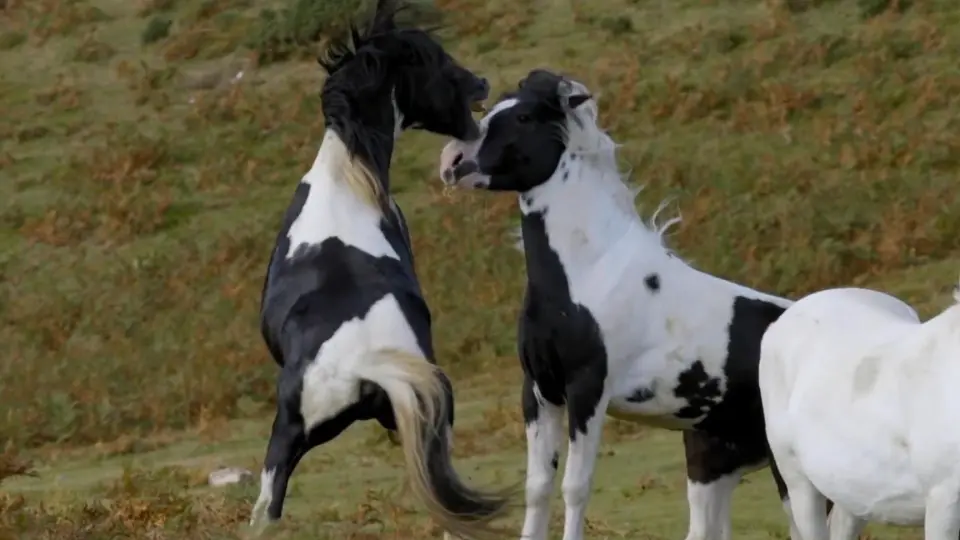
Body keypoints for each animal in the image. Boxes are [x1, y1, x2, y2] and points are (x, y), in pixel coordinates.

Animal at [436, 68, 804, 540]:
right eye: (491, 106)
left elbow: (575, 487)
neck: (590, 271)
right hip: (713, 465)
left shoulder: (588, 391)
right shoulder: (539, 392)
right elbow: (537, 488)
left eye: (523, 116)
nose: (451, 161)